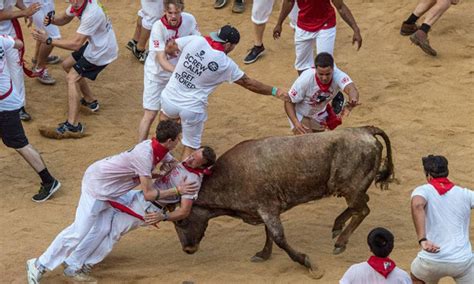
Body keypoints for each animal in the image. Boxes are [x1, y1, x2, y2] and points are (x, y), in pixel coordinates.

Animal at [172, 126, 394, 278]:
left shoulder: (267, 209)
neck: (229, 176)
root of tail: (364, 130)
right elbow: (269, 234)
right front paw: (263, 254)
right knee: (361, 204)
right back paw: (337, 227)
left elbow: (278, 237)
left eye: (181, 220)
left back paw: (340, 242)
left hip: (350, 188)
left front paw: (308, 264)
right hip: (351, 188)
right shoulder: (265, 210)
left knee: (363, 210)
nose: (187, 249)